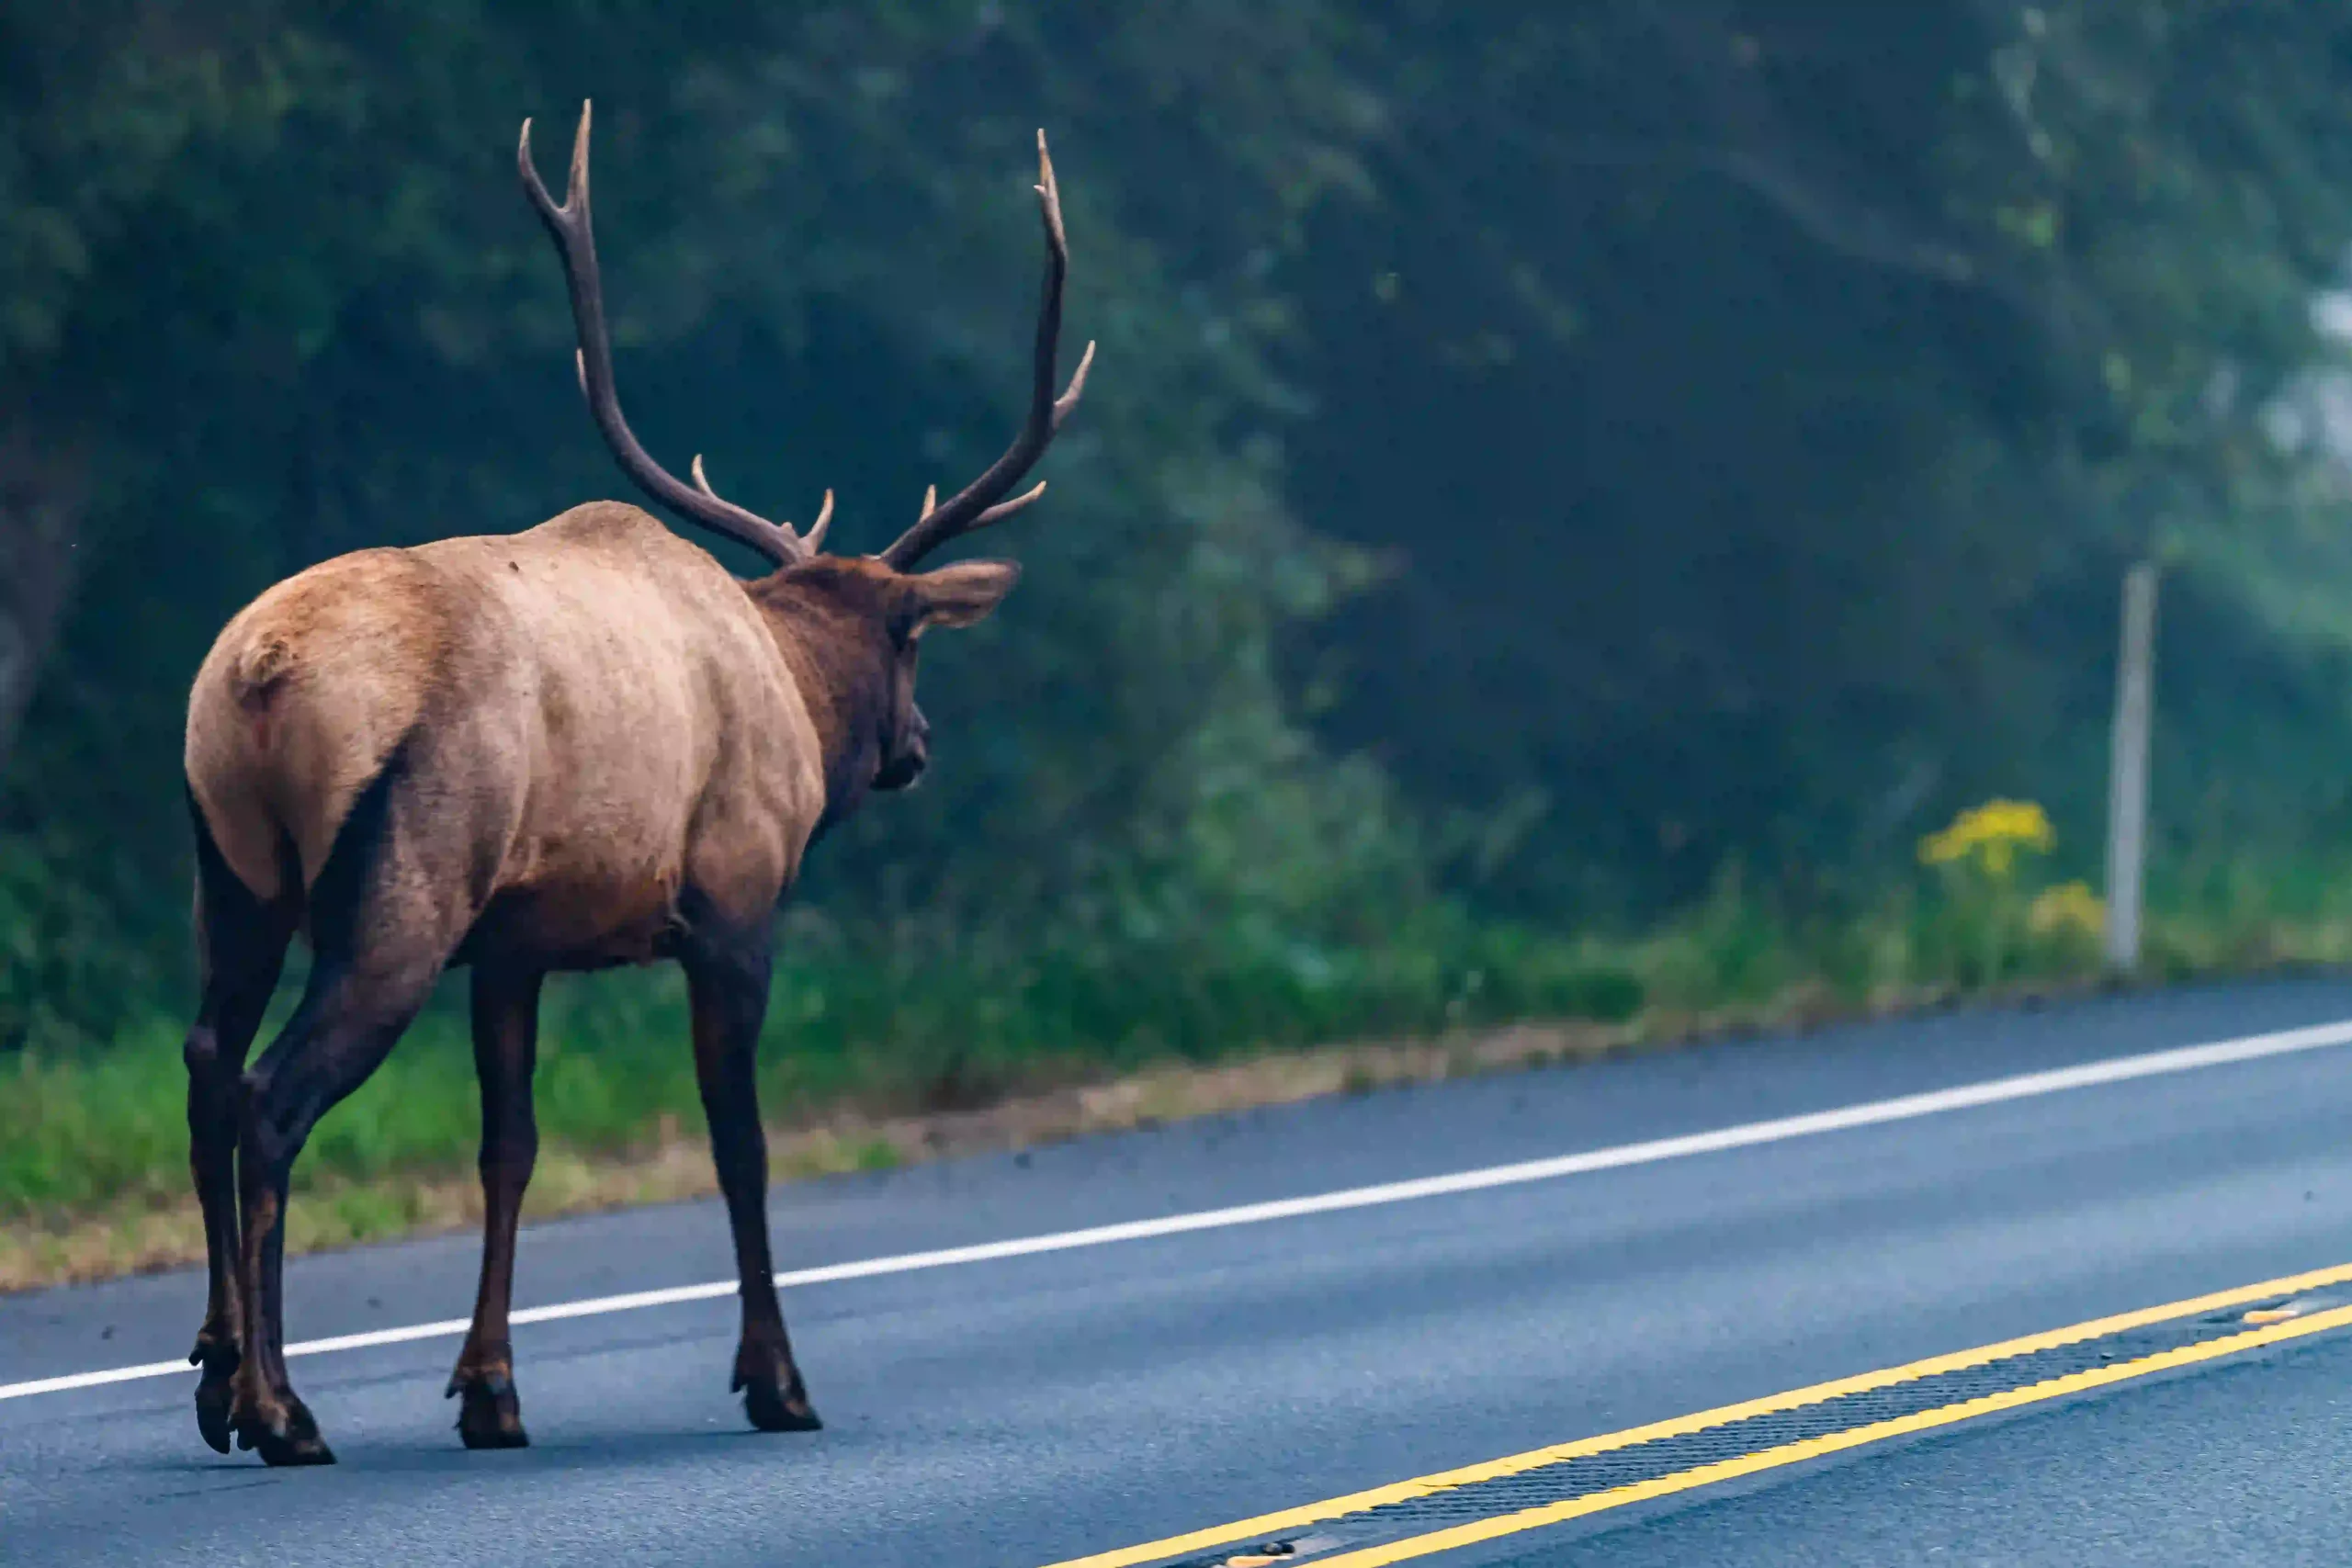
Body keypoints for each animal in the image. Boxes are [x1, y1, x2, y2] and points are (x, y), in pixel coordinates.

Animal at [175, 101, 1094, 1466]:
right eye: (911, 641)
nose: (917, 744)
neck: (790, 695)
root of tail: (258, 673)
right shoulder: (731, 908)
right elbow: (741, 1145)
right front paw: (777, 1381)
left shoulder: (512, 947)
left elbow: (509, 1147)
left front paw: (490, 1390)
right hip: (401, 893)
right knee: (268, 1096)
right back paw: (282, 1409)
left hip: (232, 872)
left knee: (201, 1060)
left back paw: (216, 1378)